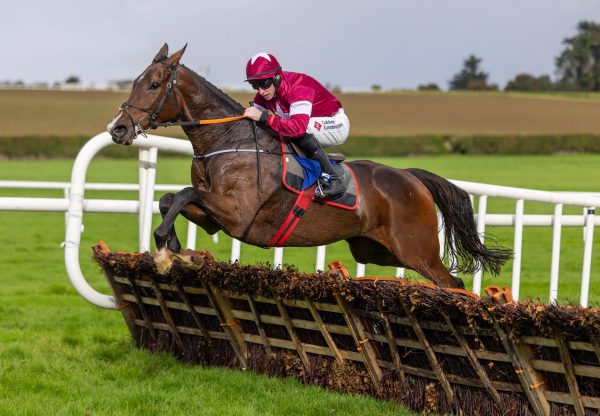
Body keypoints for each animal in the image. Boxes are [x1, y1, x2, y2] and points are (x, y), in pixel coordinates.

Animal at [105, 44, 508, 288]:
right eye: (135, 81)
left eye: (154, 84)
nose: (118, 128)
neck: (225, 140)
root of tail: (411, 178)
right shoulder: (214, 217)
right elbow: (170, 199)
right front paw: (177, 250)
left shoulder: (239, 214)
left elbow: (184, 193)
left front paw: (166, 250)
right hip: (376, 251)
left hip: (417, 249)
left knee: (453, 285)